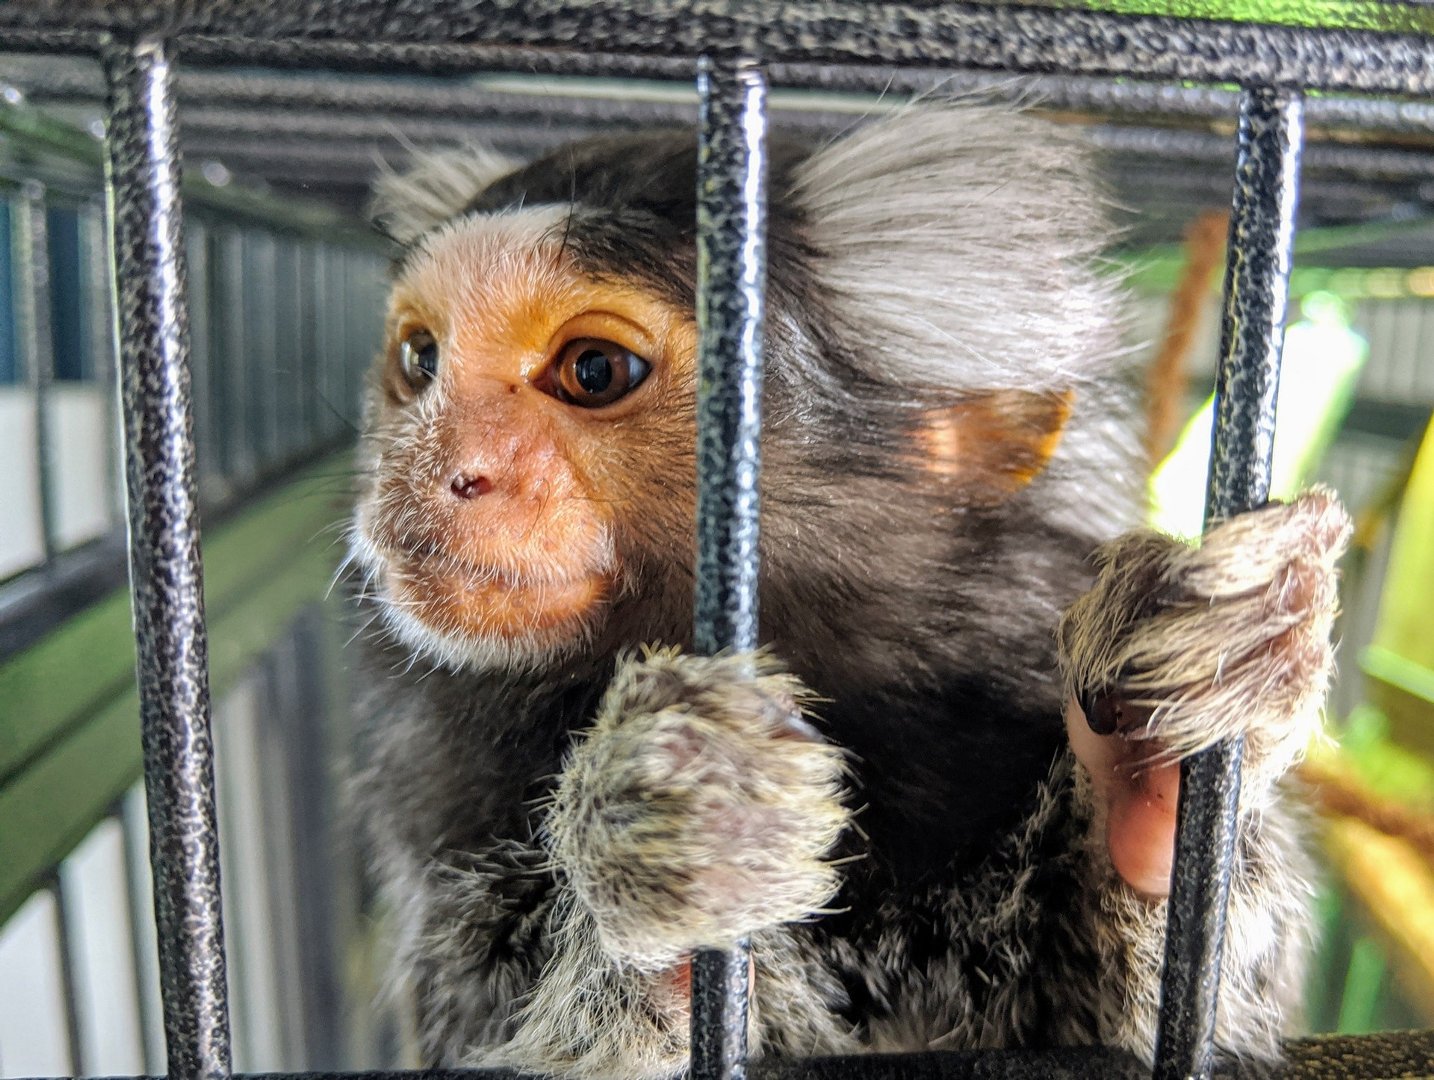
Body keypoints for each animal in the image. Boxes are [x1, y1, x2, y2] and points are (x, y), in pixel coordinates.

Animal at [344, 103, 1342, 1078]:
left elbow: (1140, 1031)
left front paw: (1146, 787)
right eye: (421, 361)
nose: (431, 472)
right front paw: (674, 871)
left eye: (594, 370)